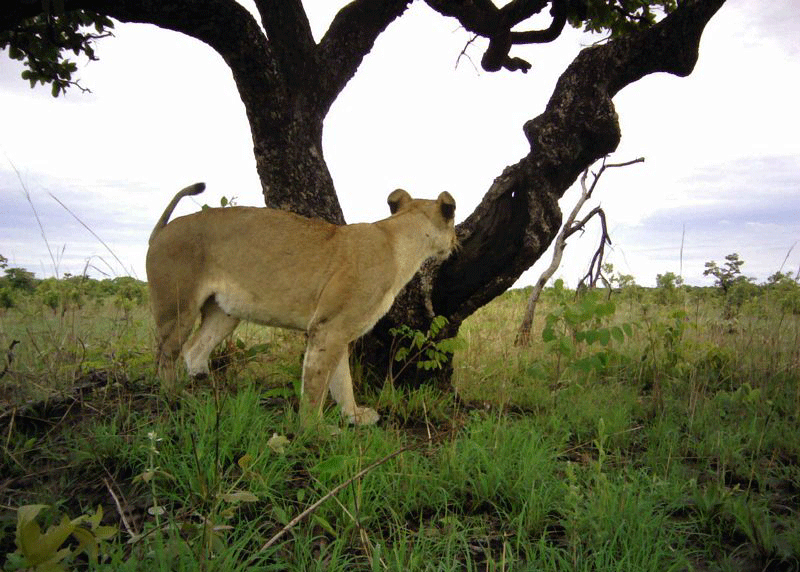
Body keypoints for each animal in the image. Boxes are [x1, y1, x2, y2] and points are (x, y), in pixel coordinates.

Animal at [146, 182, 456, 426]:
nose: (456, 242)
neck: (400, 242)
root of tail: (161, 229)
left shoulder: (340, 331)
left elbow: (341, 380)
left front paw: (353, 416)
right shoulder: (328, 327)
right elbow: (317, 384)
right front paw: (315, 430)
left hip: (225, 313)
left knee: (195, 349)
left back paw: (210, 394)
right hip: (178, 308)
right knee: (165, 355)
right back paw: (175, 396)